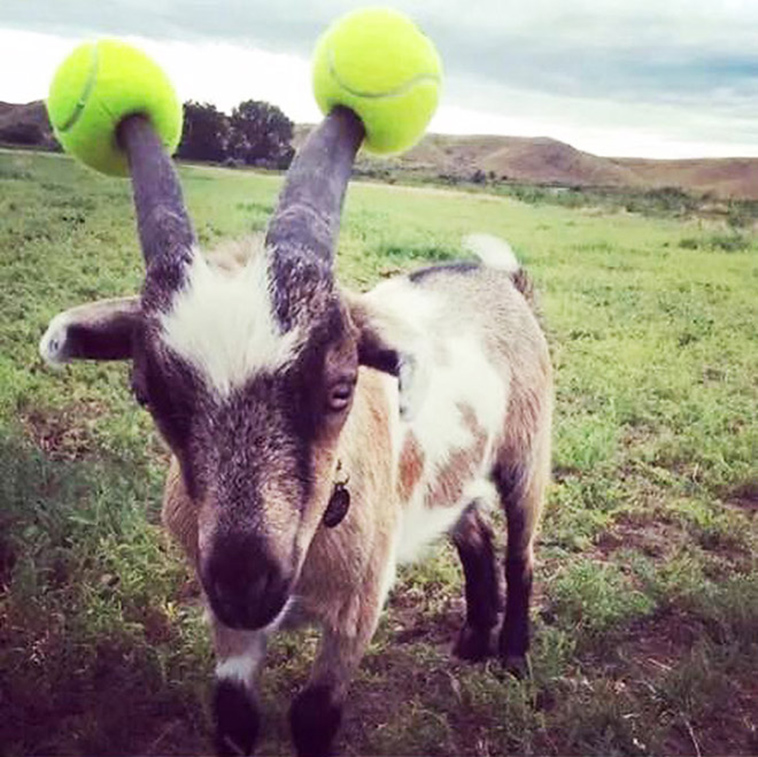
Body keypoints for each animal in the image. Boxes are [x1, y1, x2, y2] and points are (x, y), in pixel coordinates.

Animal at [39, 108, 552, 757]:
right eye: (147, 394)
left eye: (341, 387)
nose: (247, 583)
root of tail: (500, 278)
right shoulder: (226, 618)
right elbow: (233, 716)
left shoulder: (359, 605)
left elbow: (313, 715)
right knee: (474, 533)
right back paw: (472, 640)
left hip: (528, 454)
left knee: (519, 552)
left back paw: (511, 654)